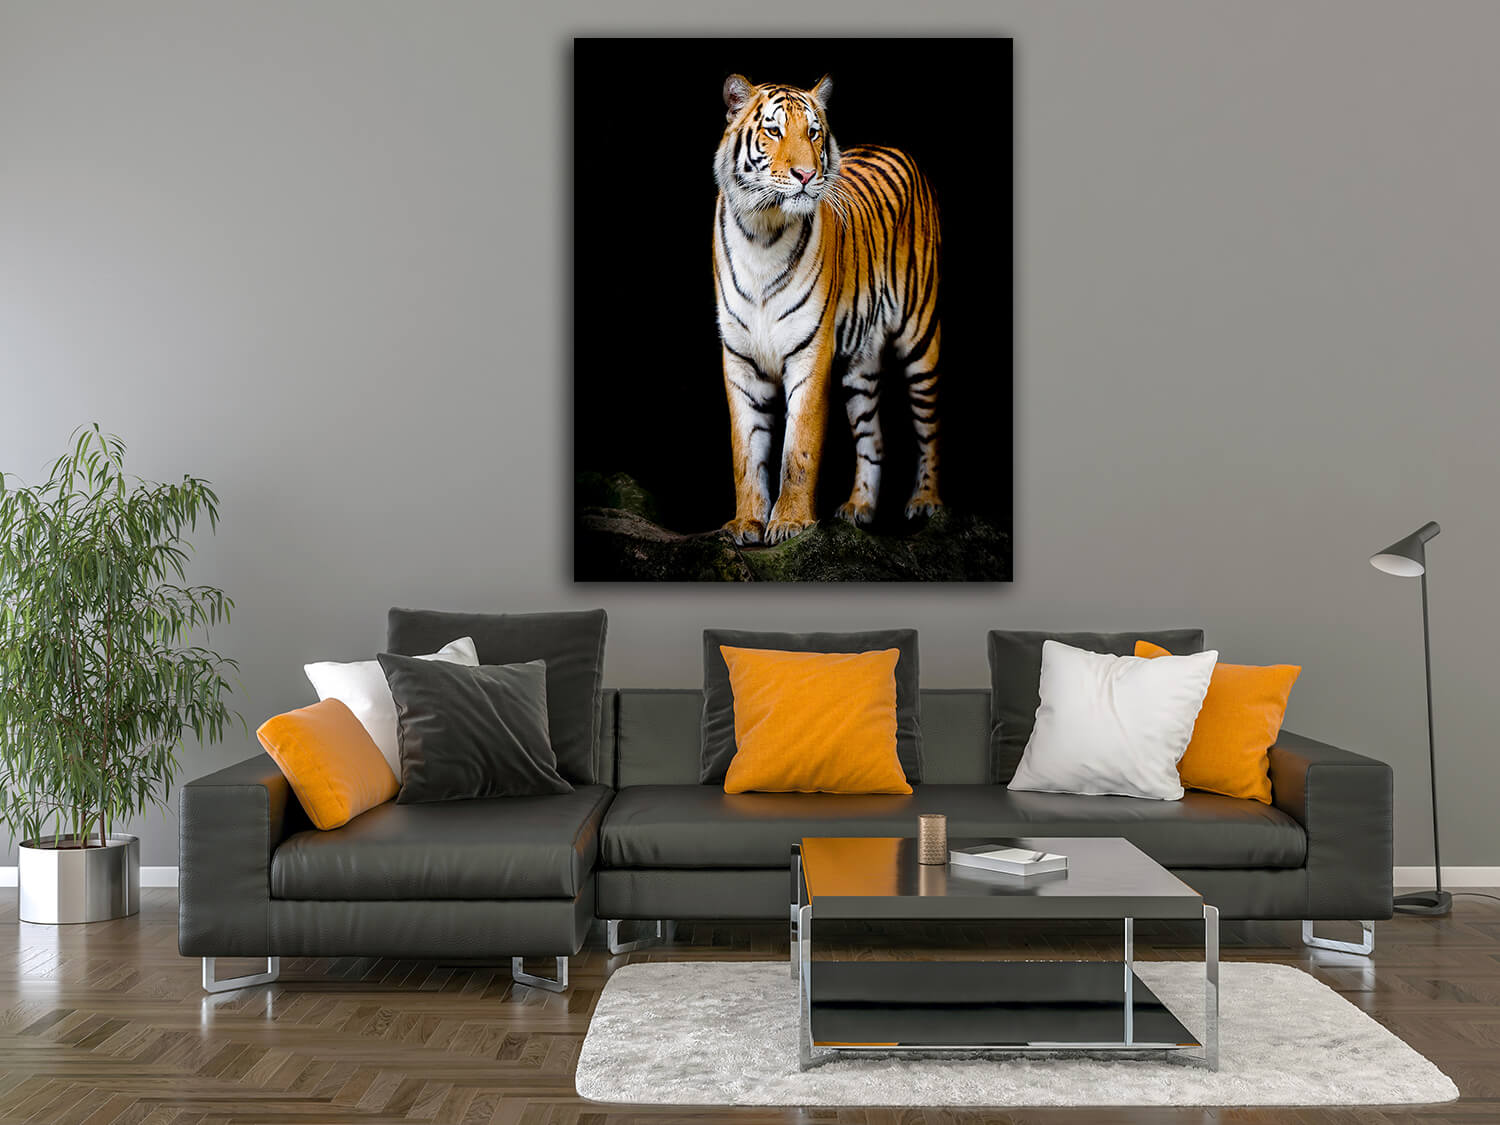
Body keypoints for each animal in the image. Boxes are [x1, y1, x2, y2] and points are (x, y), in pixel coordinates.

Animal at [712, 72, 943, 546]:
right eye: (773, 130)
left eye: (814, 133)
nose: (805, 174)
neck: (761, 233)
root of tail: (894, 146)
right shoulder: (740, 360)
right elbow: (746, 451)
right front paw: (746, 523)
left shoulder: (809, 353)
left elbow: (798, 447)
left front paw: (790, 523)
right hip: (861, 368)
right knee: (873, 439)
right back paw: (858, 507)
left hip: (920, 339)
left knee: (929, 427)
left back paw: (925, 501)